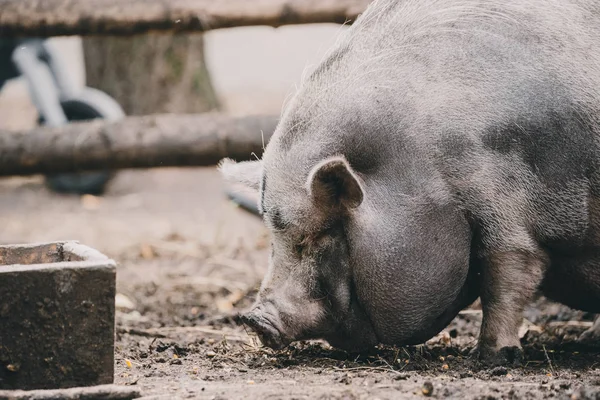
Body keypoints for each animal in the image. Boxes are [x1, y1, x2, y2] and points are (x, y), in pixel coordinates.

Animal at [218, 0, 600, 364]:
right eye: (273, 238)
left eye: (317, 235)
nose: (254, 320)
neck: (423, 165)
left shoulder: (506, 208)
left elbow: (508, 276)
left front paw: (492, 357)